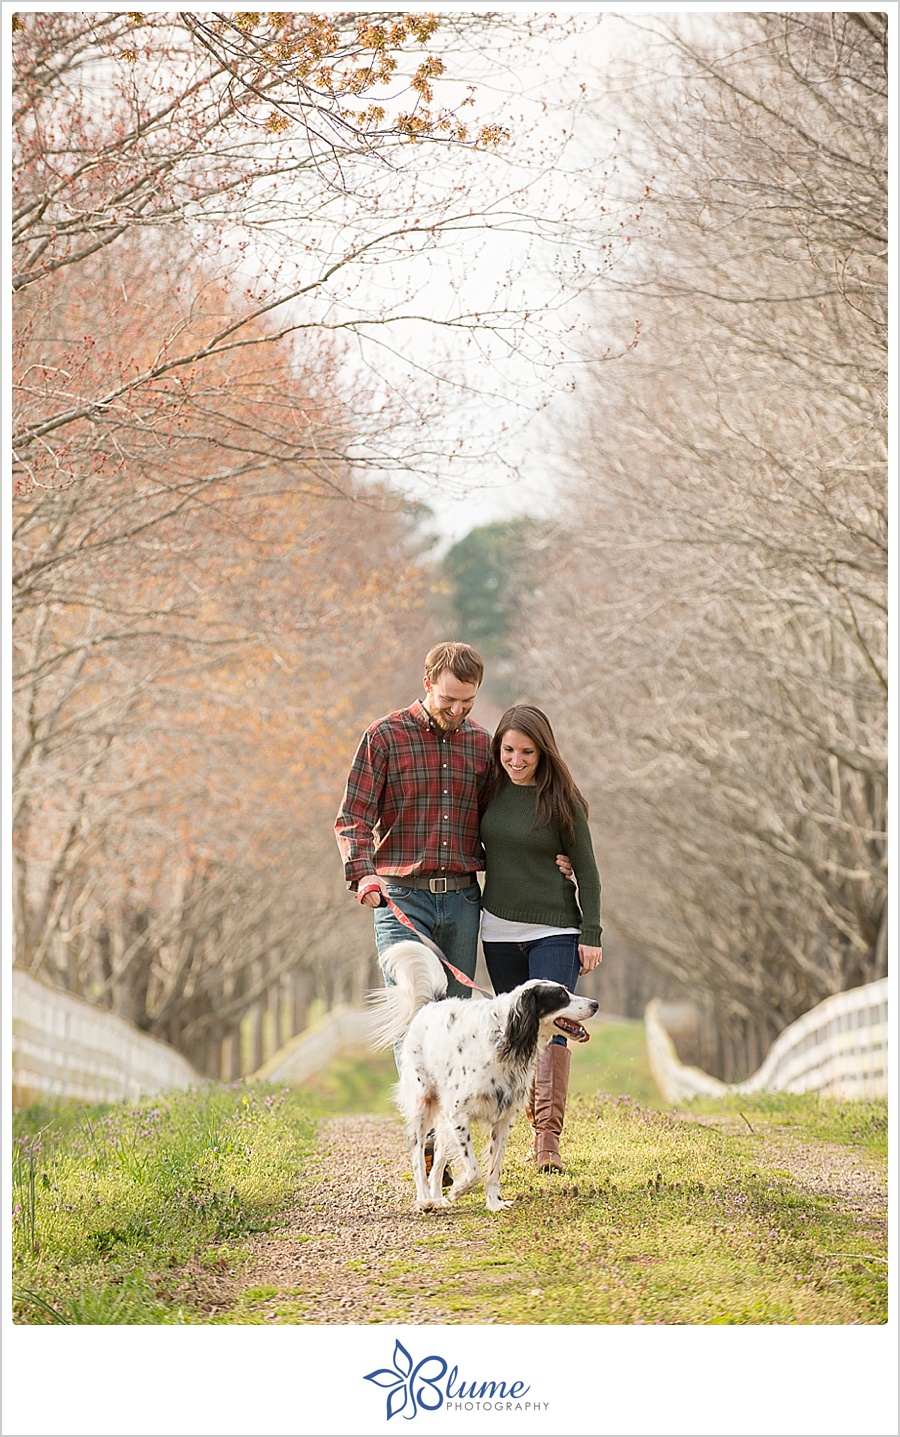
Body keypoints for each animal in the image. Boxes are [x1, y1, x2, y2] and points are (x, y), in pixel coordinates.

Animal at [365, 942, 595, 1212]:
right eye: (561, 997)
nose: (595, 1004)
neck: (505, 1039)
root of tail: (432, 1004)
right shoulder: (459, 1115)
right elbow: (474, 1170)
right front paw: (458, 1190)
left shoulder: (502, 1119)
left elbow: (493, 1169)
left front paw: (494, 1203)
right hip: (422, 1107)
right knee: (418, 1157)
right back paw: (425, 1199)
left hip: (444, 1120)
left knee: (438, 1159)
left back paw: (438, 1198)